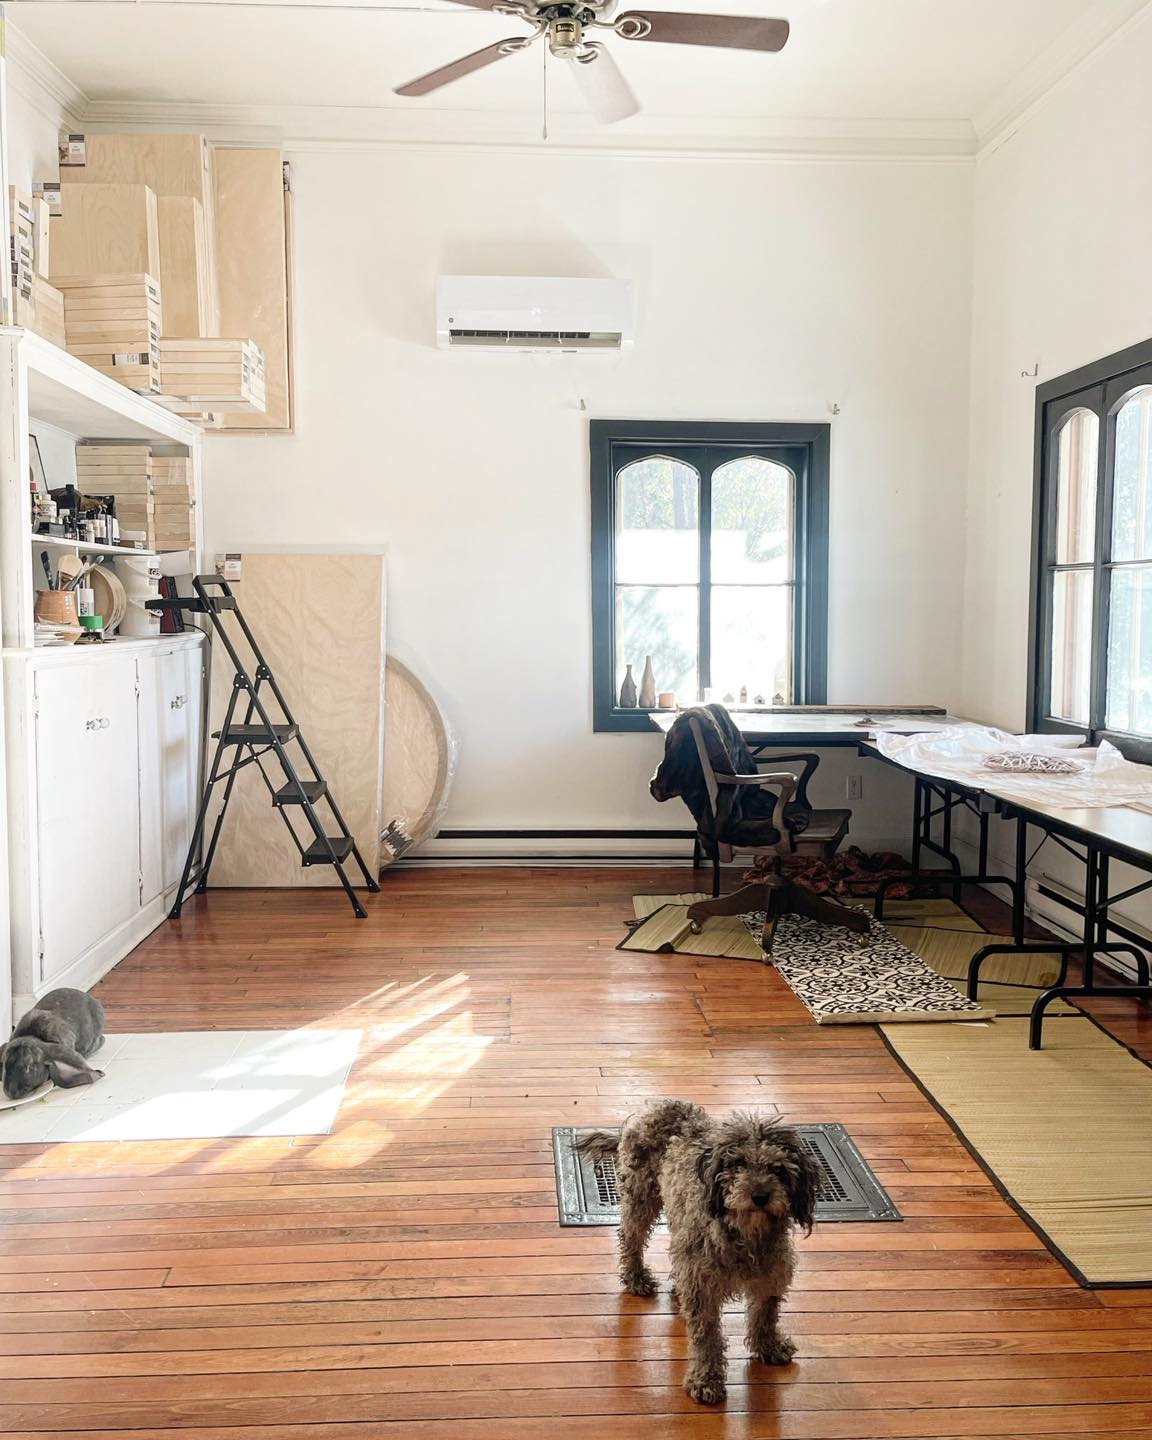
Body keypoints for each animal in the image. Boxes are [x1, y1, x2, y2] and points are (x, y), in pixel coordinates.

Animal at [584, 1100, 817, 1405]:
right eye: (738, 1163)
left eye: (778, 1169)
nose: (760, 1195)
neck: (746, 1237)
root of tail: (656, 1106)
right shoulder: (703, 1288)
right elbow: (707, 1337)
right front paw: (706, 1380)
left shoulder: (771, 1276)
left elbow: (765, 1315)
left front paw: (769, 1346)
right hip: (640, 1195)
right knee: (631, 1237)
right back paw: (636, 1278)